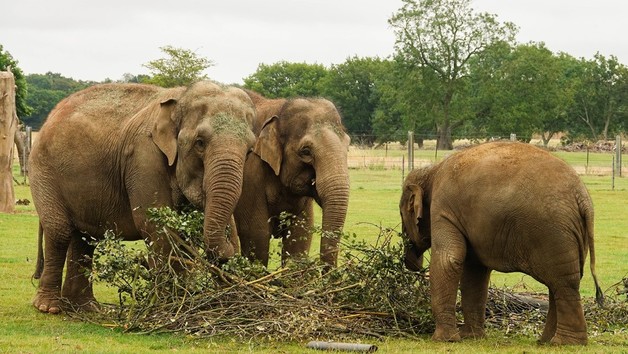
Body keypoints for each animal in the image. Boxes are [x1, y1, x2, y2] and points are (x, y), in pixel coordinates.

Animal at [29, 81, 255, 312]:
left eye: (249, 151)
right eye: (200, 143)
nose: (231, 252)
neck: (182, 95)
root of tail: (51, 116)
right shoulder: (143, 156)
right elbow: (156, 227)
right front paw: (168, 307)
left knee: (85, 238)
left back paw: (86, 308)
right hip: (43, 170)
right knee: (59, 231)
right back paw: (49, 307)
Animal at [233, 90, 350, 268]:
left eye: (348, 146)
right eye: (306, 151)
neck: (279, 108)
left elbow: (299, 238)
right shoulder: (249, 174)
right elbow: (256, 236)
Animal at [400, 142, 604, 346]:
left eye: (402, 214)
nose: (412, 264)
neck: (432, 171)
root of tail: (583, 198)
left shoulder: (442, 209)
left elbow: (449, 261)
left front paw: (444, 340)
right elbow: (475, 271)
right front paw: (471, 337)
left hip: (553, 232)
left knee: (563, 283)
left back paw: (565, 343)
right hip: (572, 235)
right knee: (561, 282)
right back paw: (547, 341)